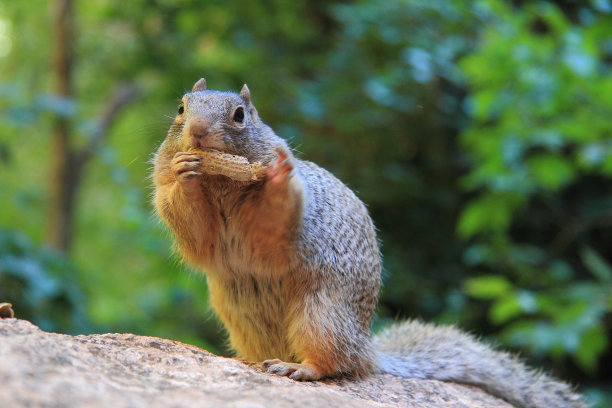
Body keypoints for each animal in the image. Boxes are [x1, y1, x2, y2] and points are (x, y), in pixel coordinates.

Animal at [151, 78, 584, 406]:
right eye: (180, 108)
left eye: (240, 115)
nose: (198, 132)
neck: (221, 183)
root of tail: (368, 349)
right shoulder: (186, 213)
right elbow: (196, 235)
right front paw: (185, 171)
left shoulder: (281, 223)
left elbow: (274, 220)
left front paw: (276, 174)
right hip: (244, 318)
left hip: (322, 314)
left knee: (335, 363)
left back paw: (299, 367)